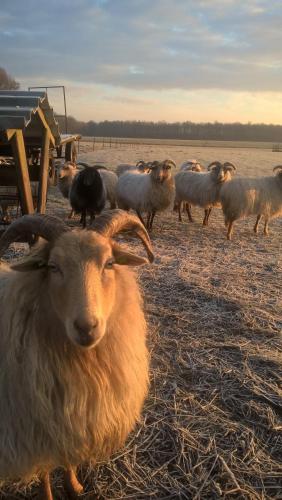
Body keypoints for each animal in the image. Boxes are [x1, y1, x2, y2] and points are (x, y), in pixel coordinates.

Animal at [0, 210, 154, 500]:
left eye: (109, 263)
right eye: (52, 267)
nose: (86, 327)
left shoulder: (71, 416)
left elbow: (68, 459)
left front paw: (73, 486)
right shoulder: (38, 426)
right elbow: (45, 470)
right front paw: (49, 494)